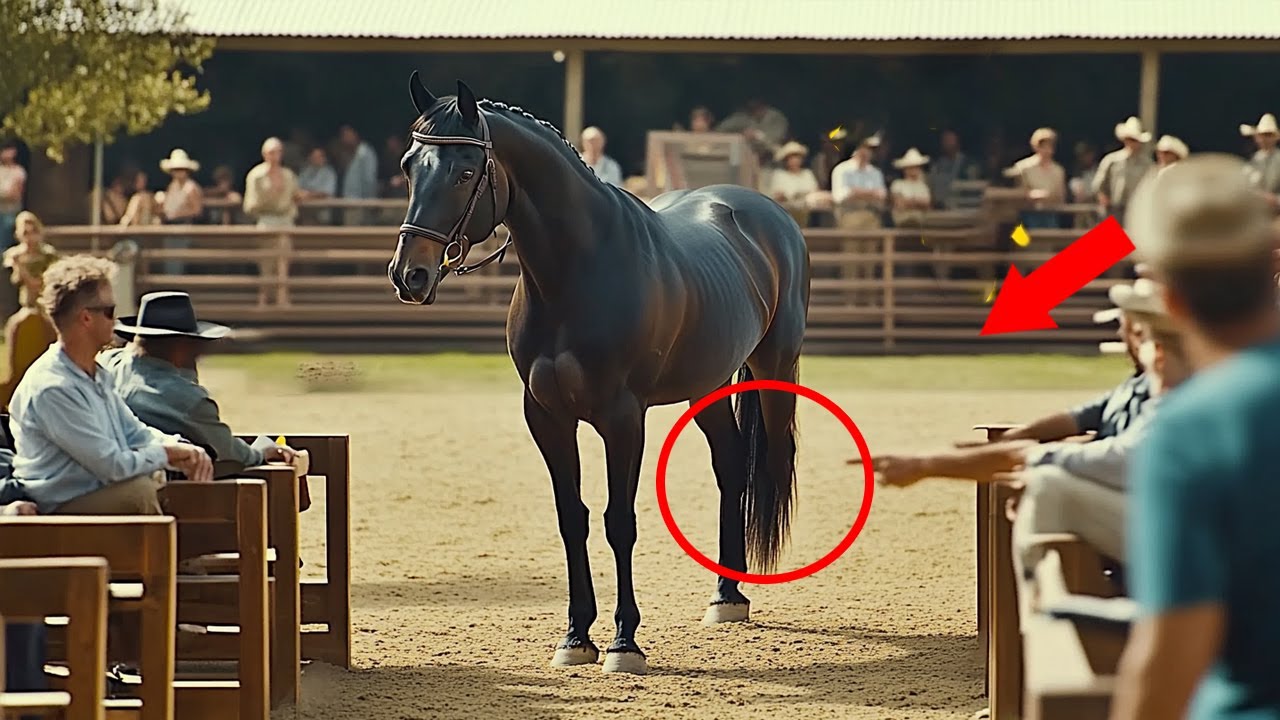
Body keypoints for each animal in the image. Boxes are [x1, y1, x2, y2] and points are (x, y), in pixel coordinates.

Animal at [388, 73, 811, 676]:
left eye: (465, 172)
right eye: (408, 165)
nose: (410, 275)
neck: (575, 273)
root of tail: (765, 213)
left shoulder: (622, 419)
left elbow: (619, 521)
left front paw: (624, 641)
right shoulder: (546, 416)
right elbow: (574, 518)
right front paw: (575, 637)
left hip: (776, 368)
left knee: (772, 462)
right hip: (706, 386)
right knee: (731, 468)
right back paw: (725, 596)